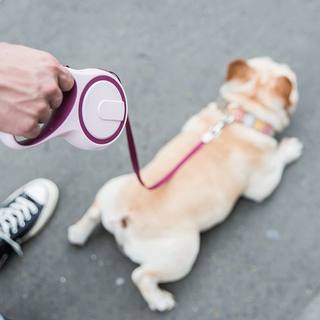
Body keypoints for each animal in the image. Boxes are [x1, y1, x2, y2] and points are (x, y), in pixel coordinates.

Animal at [67, 57, 302, 310]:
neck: (243, 112)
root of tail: (122, 218)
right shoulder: (263, 182)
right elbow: (278, 161)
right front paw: (290, 148)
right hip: (182, 253)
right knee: (141, 276)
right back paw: (159, 300)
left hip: (112, 188)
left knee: (93, 211)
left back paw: (77, 233)